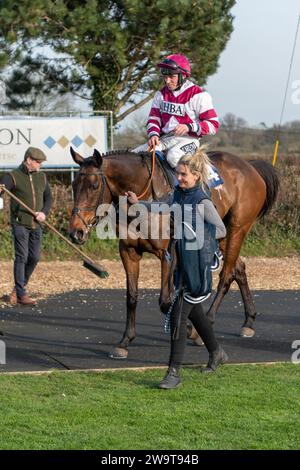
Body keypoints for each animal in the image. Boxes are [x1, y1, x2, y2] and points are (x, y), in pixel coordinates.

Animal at [69, 149, 280, 358]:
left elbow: (165, 301)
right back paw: (248, 321)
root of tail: (250, 166)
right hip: (222, 235)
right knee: (239, 268)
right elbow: (132, 296)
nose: (76, 231)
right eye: (73, 185)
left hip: (238, 228)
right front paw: (125, 341)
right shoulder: (128, 252)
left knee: (226, 275)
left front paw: (188, 328)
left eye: (94, 186)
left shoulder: (167, 254)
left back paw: (204, 326)